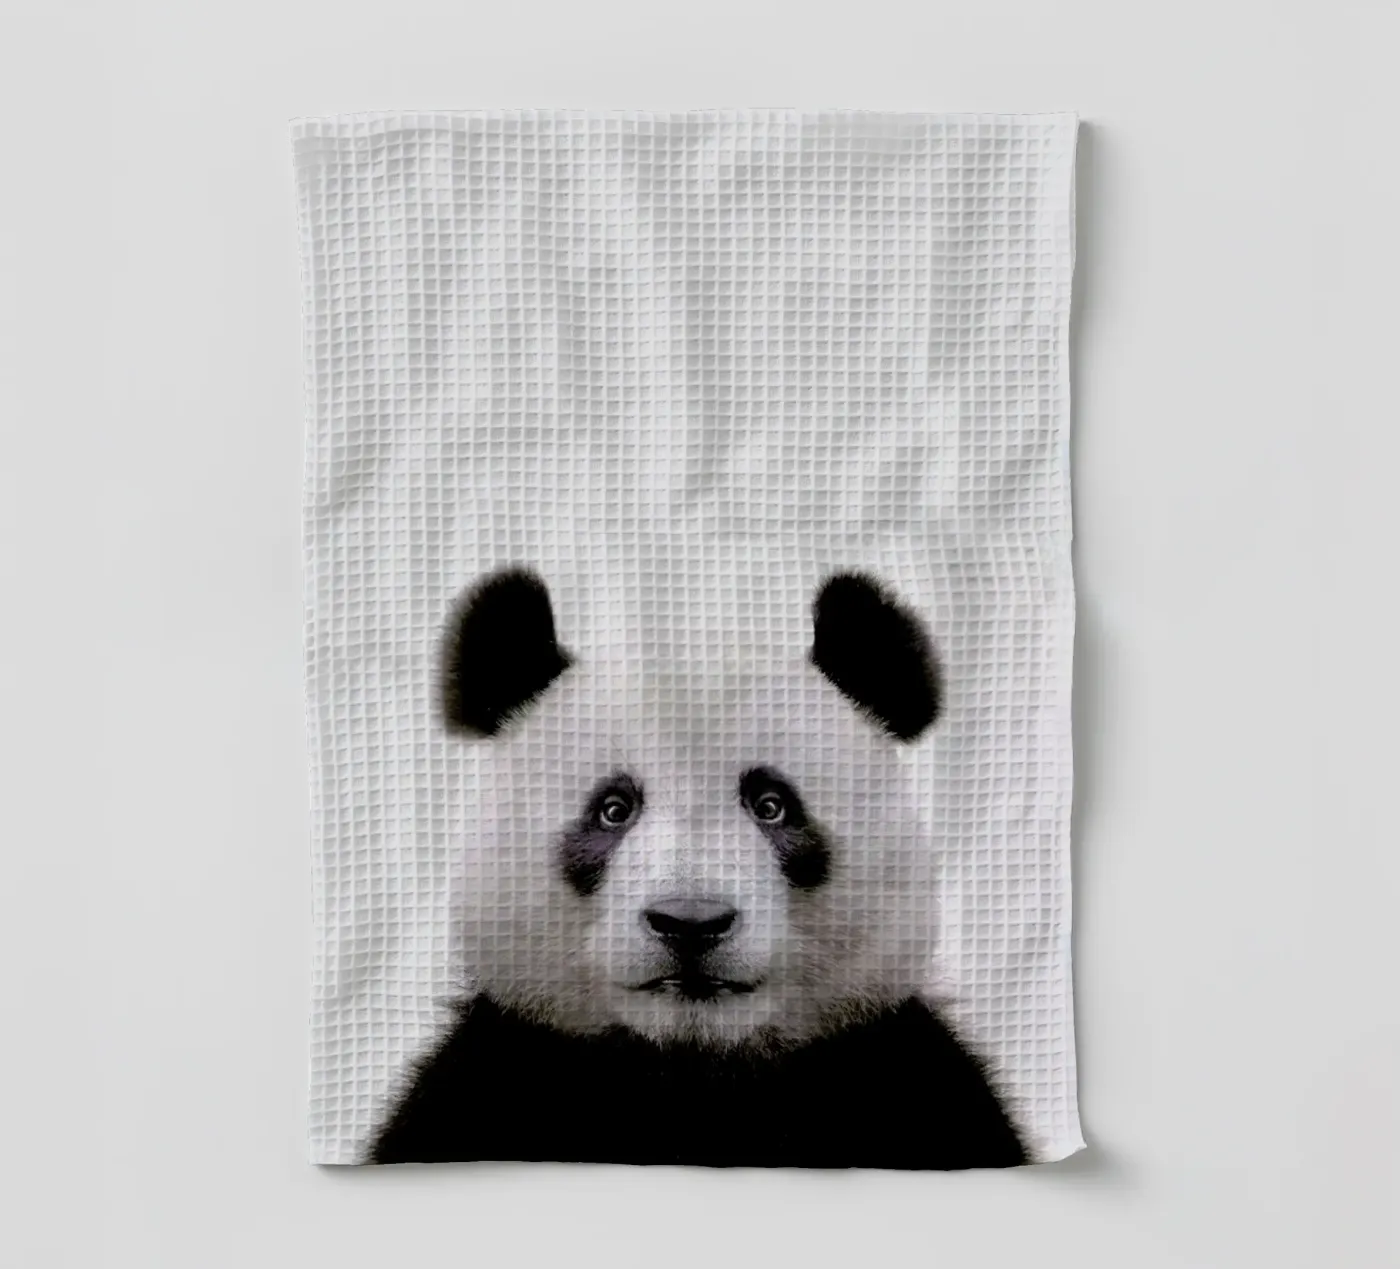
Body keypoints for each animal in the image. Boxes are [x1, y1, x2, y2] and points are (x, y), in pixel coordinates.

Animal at [369, 568, 1027, 1169]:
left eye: (772, 805)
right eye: (613, 809)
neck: (692, 1072)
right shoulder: (490, 1077)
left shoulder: (908, 1080)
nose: (690, 922)